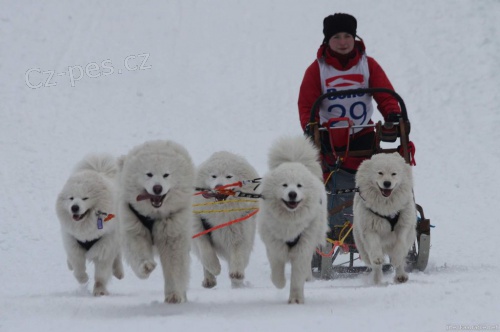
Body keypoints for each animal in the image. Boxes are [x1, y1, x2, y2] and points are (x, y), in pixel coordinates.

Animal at [55, 153, 123, 296]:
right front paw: (83, 279)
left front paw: (100, 291)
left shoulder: (105, 246)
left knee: (117, 255)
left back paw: (119, 272)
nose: (74, 207)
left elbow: (101, 274)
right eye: (71, 198)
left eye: (85, 198)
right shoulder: (73, 243)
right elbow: (78, 268)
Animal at [116, 140, 195, 304]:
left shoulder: (173, 230)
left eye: (166, 174)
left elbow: (174, 264)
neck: (154, 215)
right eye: (149, 174)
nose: (157, 188)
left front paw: (173, 295)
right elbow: (137, 248)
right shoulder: (133, 224)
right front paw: (146, 266)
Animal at [191, 150, 260, 288]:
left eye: (229, 176)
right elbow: (205, 250)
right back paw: (209, 280)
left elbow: (238, 253)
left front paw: (237, 273)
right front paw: (215, 267)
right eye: (213, 176)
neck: (221, 212)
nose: (219, 186)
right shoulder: (199, 226)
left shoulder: (240, 231)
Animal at [258, 136, 328, 304]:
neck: (290, 222)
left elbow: (297, 276)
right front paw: (280, 283)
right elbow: (277, 271)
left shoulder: (303, 245)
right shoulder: (274, 245)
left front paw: (296, 299)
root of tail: (294, 161)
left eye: (299, 186)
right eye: (284, 185)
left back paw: (308, 277)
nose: (292, 194)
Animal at [352, 152, 418, 284]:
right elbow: (374, 245)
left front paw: (396, 258)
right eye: (380, 173)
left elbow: (400, 242)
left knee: (402, 257)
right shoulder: (369, 227)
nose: (387, 183)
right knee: (375, 265)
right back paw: (377, 281)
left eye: (394, 173)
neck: (387, 206)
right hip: (361, 244)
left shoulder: (404, 224)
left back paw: (401, 276)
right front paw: (378, 258)